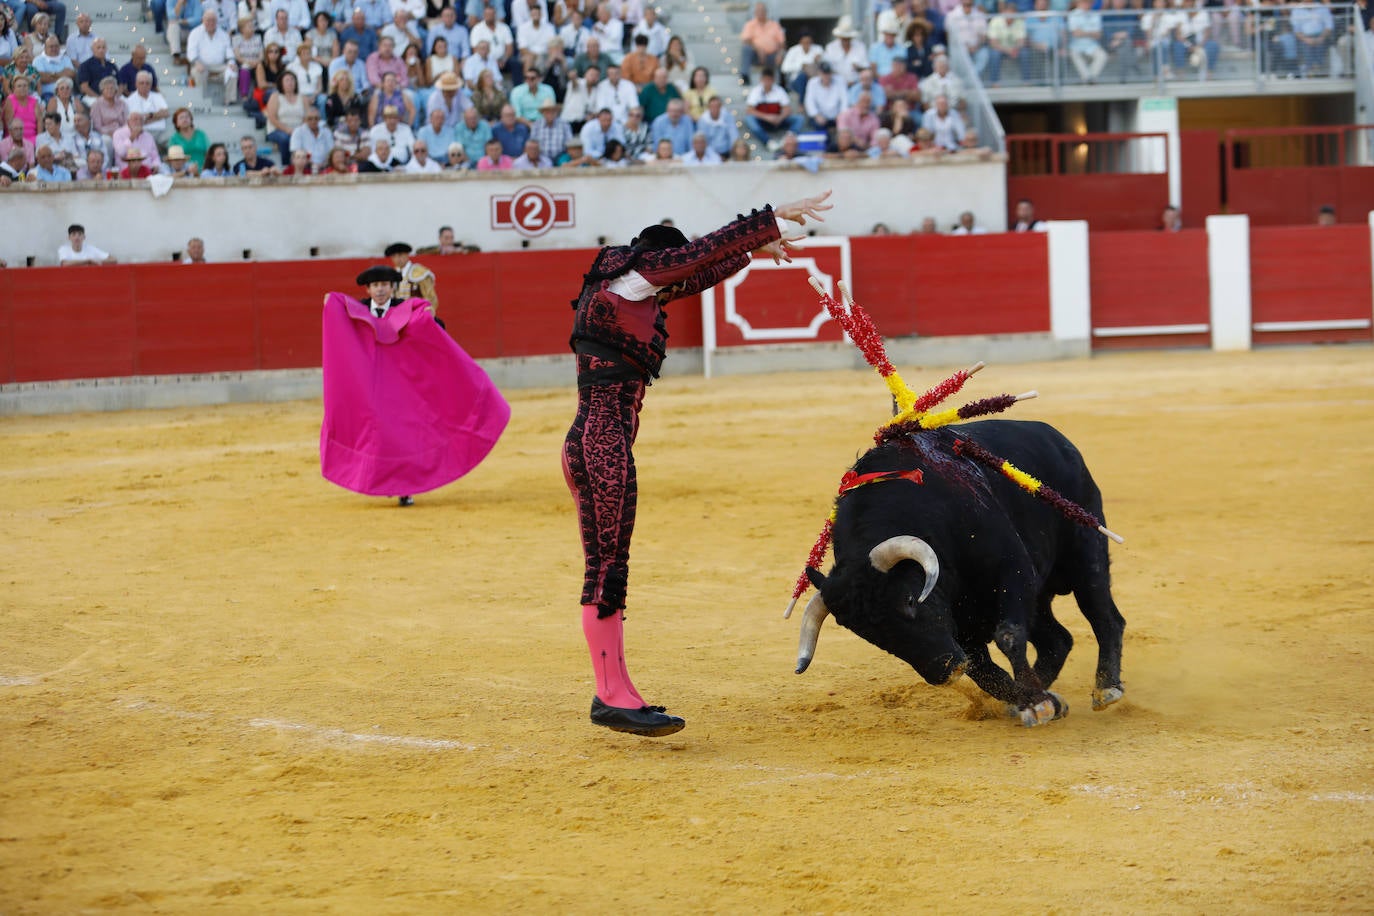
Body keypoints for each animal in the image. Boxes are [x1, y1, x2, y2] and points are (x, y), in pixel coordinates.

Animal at [796, 420, 1126, 725]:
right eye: (867, 635)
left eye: (909, 601)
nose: (944, 670)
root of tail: (1059, 440)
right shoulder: (962, 626)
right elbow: (983, 669)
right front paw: (1032, 702)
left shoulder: (1014, 571)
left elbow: (1008, 636)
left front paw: (1036, 703)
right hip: (1037, 600)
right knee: (1057, 640)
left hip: (1087, 555)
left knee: (1105, 617)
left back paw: (1107, 689)